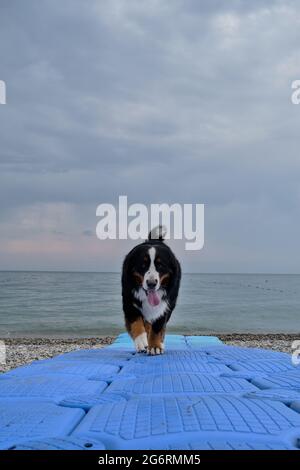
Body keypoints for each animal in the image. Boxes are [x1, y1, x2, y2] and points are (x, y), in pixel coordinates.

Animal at [121, 226, 180, 354]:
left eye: (160, 265)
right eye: (143, 265)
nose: (151, 283)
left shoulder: (164, 305)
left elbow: (158, 327)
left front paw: (155, 346)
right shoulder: (129, 302)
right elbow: (136, 322)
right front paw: (141, 341)